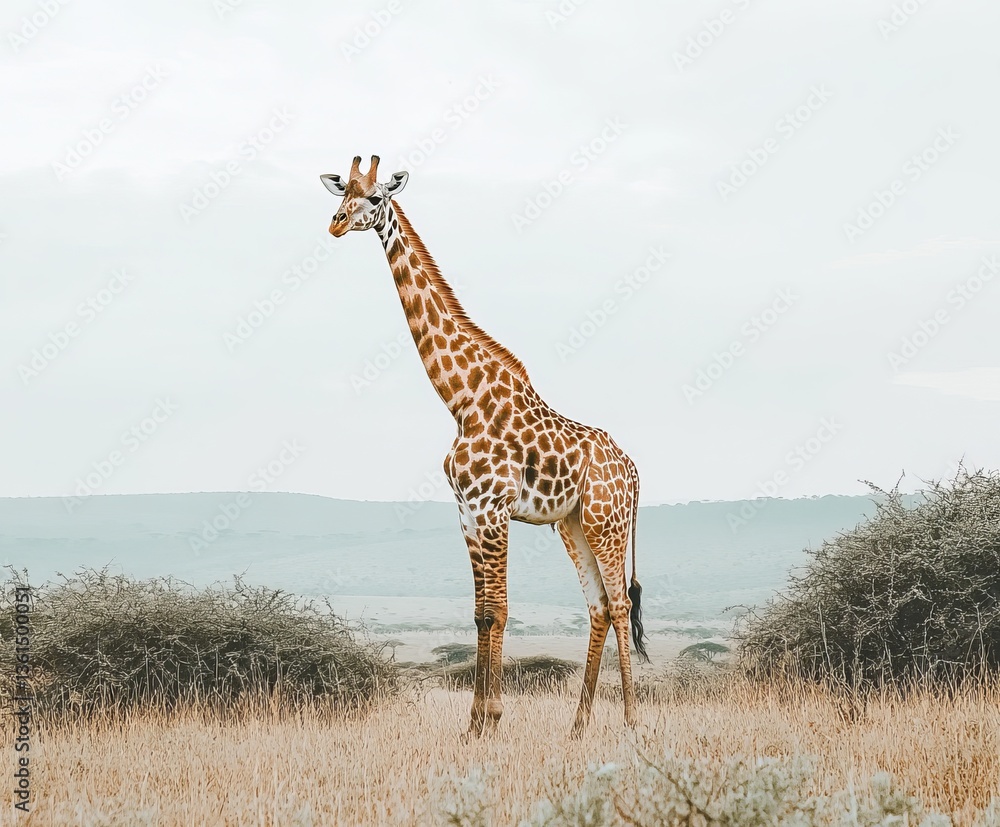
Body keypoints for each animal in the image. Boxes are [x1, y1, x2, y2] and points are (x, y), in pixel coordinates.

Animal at [320, 155, 649, 736]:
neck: (461, 399)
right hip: (573, 524)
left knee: (617, 604)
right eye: (343, 193)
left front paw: (490, 718)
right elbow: (480, 611)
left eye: (376, 197)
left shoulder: (493, 507)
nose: (336, 223)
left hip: (607, 524)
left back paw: (630, 723)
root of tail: (635, 472)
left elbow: (498, 608)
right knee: (598, 606)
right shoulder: (467, 509)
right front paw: (474, 722)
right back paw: (578, 726)